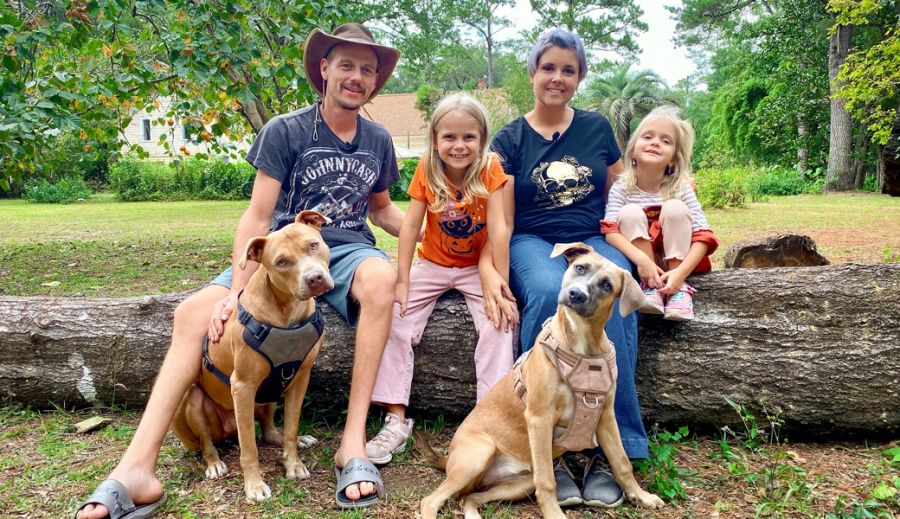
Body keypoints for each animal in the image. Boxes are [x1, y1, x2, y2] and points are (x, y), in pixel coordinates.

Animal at [172, 210, 334, 504]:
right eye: (281, 262)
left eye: (313, 245)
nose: (315, 278)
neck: (286, 313)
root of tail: (227, 430)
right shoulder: (243, 386)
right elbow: (248, 446)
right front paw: (254, 485)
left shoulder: (300, 379)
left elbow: (290, 428)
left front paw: (293, 463)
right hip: (194, 401)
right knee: (207, 443)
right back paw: (214, 463)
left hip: (269, 396)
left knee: (269, 431)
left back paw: (292, 439)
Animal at [418, 244, 664, 519]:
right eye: (580, 267)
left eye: (607, 285)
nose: (576, 294)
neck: (582, 346)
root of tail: (448, 459)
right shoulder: (539, 418)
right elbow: (547, 480)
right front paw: (555, 514)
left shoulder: (605, 417)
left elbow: (622, 461)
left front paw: (641, 496)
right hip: (479, 453)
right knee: (431, 500)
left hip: (518, 483)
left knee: (469, 498)